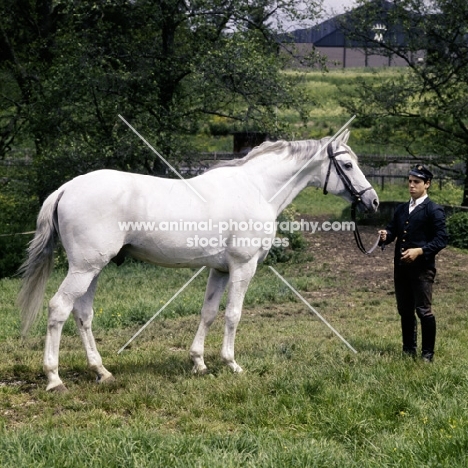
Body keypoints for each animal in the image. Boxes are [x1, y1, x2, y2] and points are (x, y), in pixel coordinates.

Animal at [18, 130, 378, 390]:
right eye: (347, 165)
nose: (372, 201)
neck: (256, 188)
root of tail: (66, 189)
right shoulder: (243, 266)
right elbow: (233, 314)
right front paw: (231, 363)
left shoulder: (219, 269)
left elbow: (208, 313)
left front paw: (199, 363)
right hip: (84, 268)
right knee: (58, 309)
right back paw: (54, 379)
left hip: (92, 270)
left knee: (83, 314)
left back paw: (101, 371)